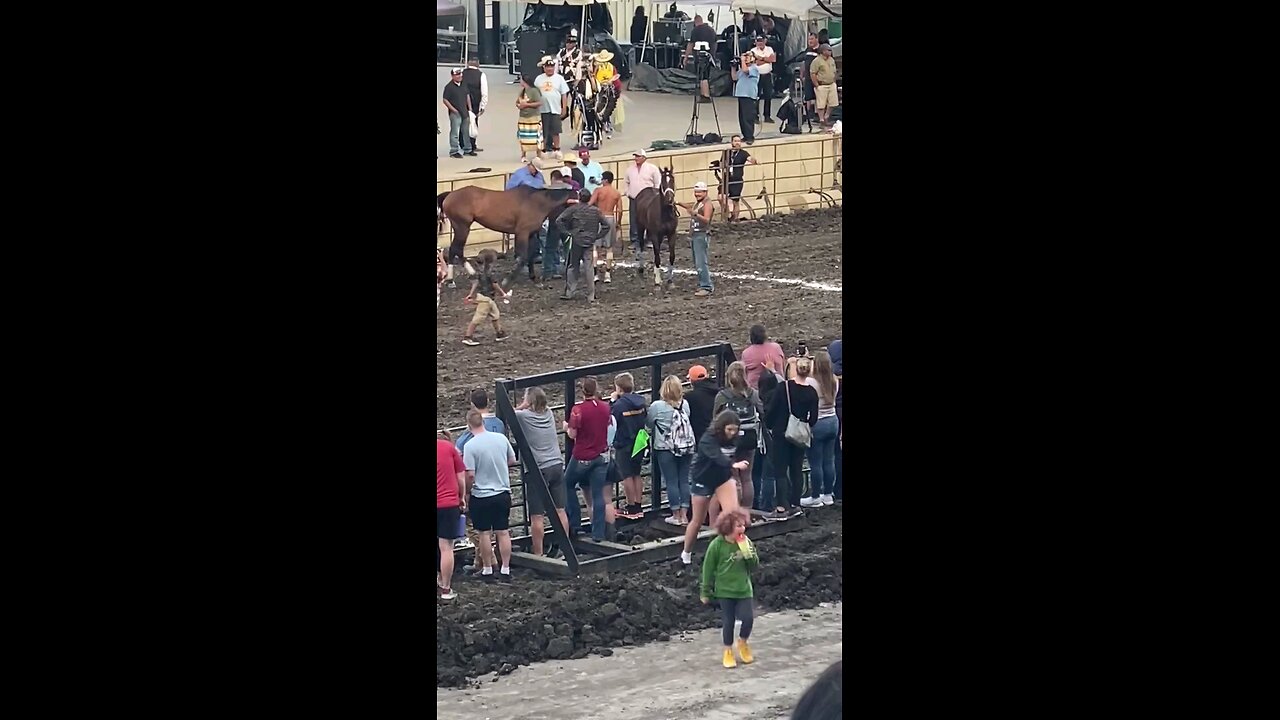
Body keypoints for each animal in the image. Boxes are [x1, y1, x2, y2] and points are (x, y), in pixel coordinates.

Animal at [442, 184, 578, 285]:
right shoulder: (522, 233)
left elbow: (530, 256)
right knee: (455, 250)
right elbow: (522, 257)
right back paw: (457, 278)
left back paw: (463, 277)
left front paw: (533, 278)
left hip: (461, 228)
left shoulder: (531, 234)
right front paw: (507, 280)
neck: (537, 202)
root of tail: (449, 195)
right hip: (462, 227)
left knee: (456, 251)